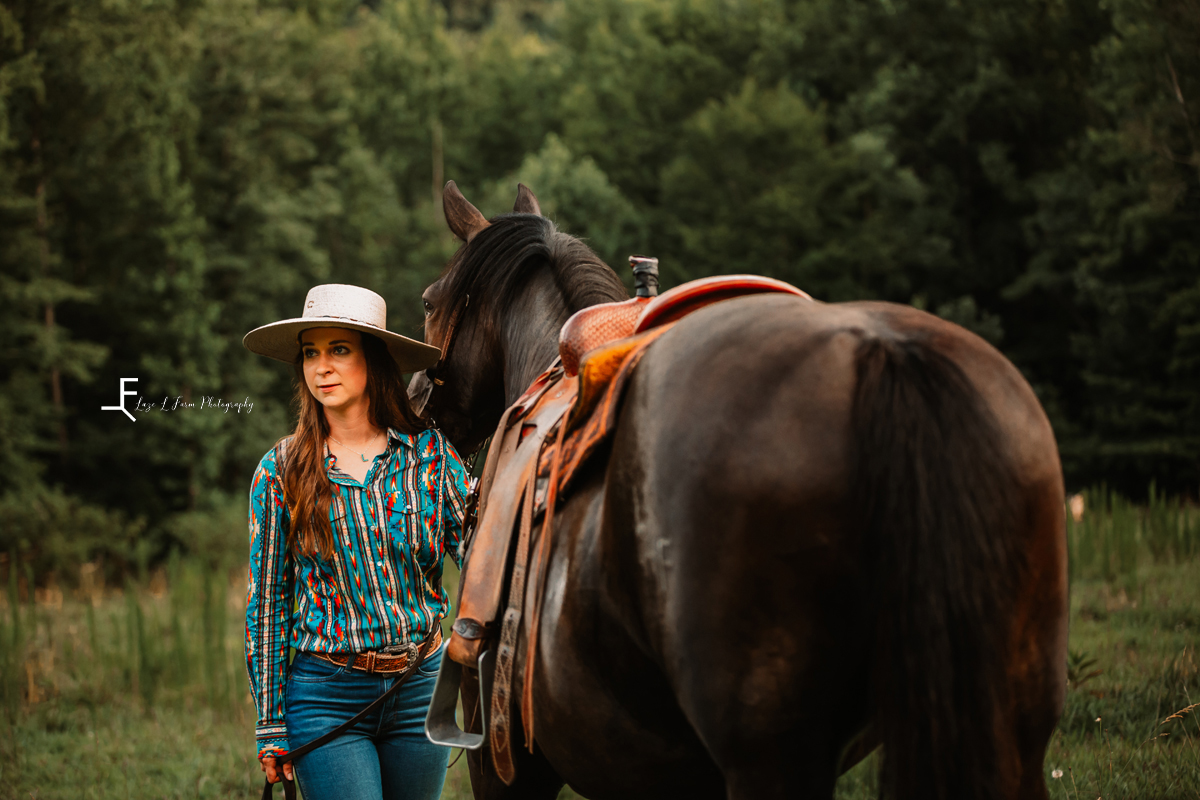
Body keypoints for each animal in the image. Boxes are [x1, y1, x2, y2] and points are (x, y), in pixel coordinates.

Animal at [412, 183, 1070, 800]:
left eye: (428, 301)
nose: (417, 400)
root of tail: (884, 353)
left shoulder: (509, 768)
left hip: (768, 757)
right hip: (1011, 732)